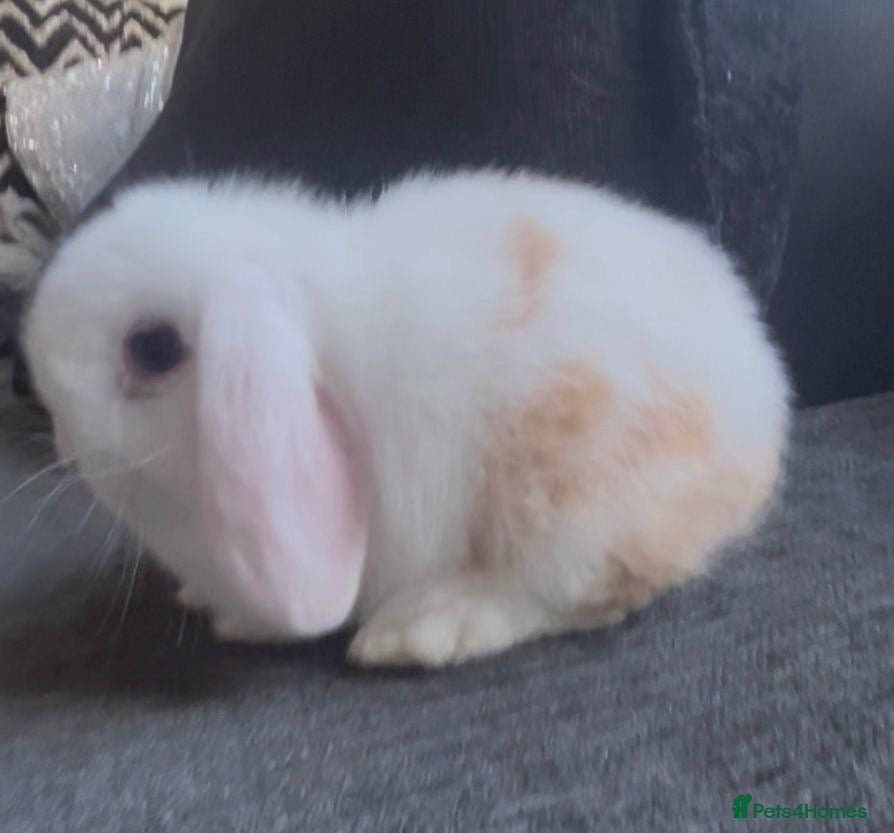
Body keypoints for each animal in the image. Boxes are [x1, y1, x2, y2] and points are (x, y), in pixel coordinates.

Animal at [23, 170, 790, 668]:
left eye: (152, 348)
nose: (60, 439)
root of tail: (760, 395)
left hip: (574, 494)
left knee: (568, 589)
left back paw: (427, 626)